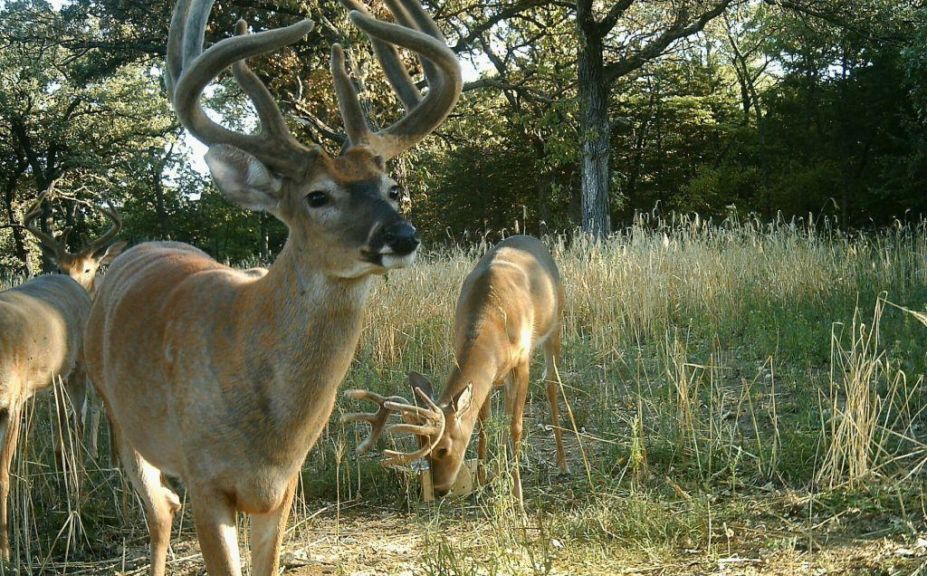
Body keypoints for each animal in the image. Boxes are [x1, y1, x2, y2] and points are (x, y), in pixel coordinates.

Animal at [0, 191, 125, 560]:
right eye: (58, 263)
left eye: (90, 267)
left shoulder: (13, 401)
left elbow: (3, 475)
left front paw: (7, 553)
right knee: (65, 428)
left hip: (78, 366)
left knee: (80, 422)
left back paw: (85, 487)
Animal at [83, 0, 460, 572]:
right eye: (317, 196)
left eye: (391, 188)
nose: (402, 235)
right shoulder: (206, 478)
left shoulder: (284, 485)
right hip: (117, 412)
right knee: (160, 509)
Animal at [344, 236, 568, 506]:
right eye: (421, 445)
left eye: (443, 449)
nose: (439, 489)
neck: (492, 320)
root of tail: (533, 240)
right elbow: (484, 423)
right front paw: (481, 484)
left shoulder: (523, 359)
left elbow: (516, 425)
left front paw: (518, 496)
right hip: (506, 374)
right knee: (506, 405)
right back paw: (499, 471)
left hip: (555, 328)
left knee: (551, 385)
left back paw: (562, 464)